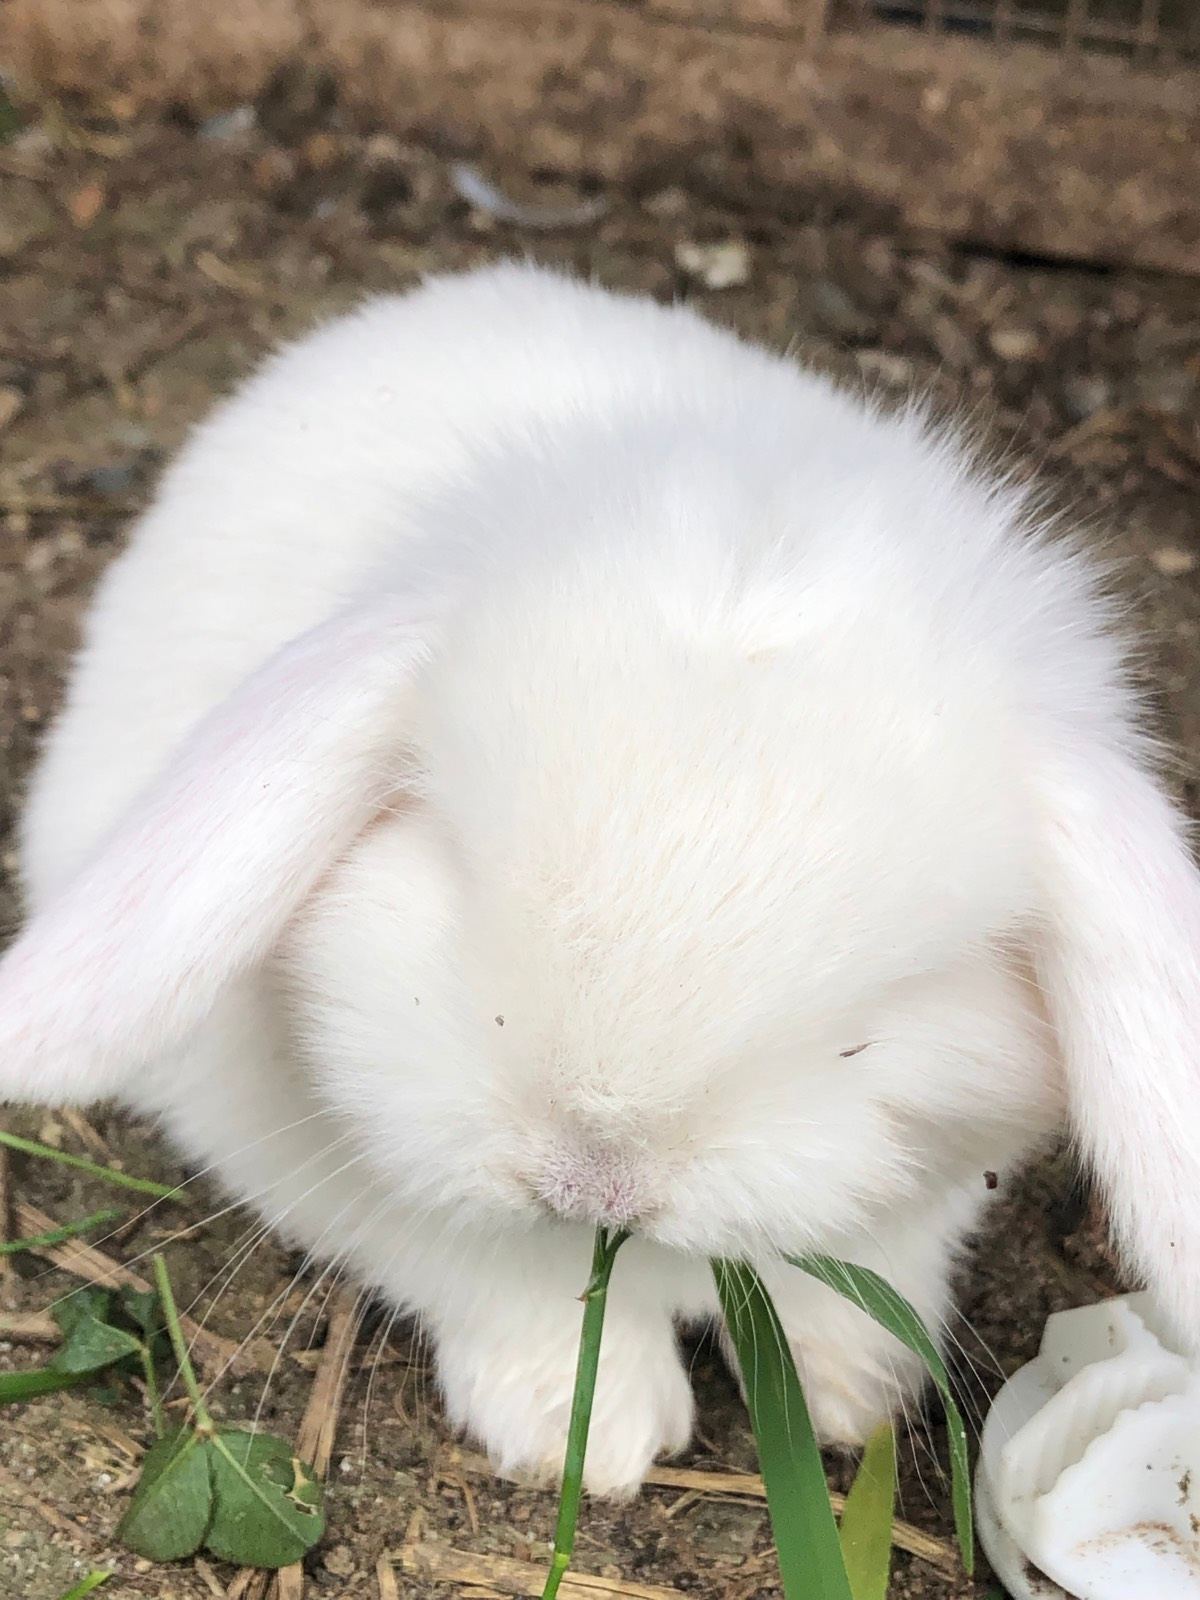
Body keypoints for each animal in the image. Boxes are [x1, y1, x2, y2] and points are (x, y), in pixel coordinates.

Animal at [2, 259, 1198, 1497]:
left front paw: (853, 1399)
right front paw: (591, 1437)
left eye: (877, 1012)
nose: (593, 1178)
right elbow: (507, 1283)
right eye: (454, 868)